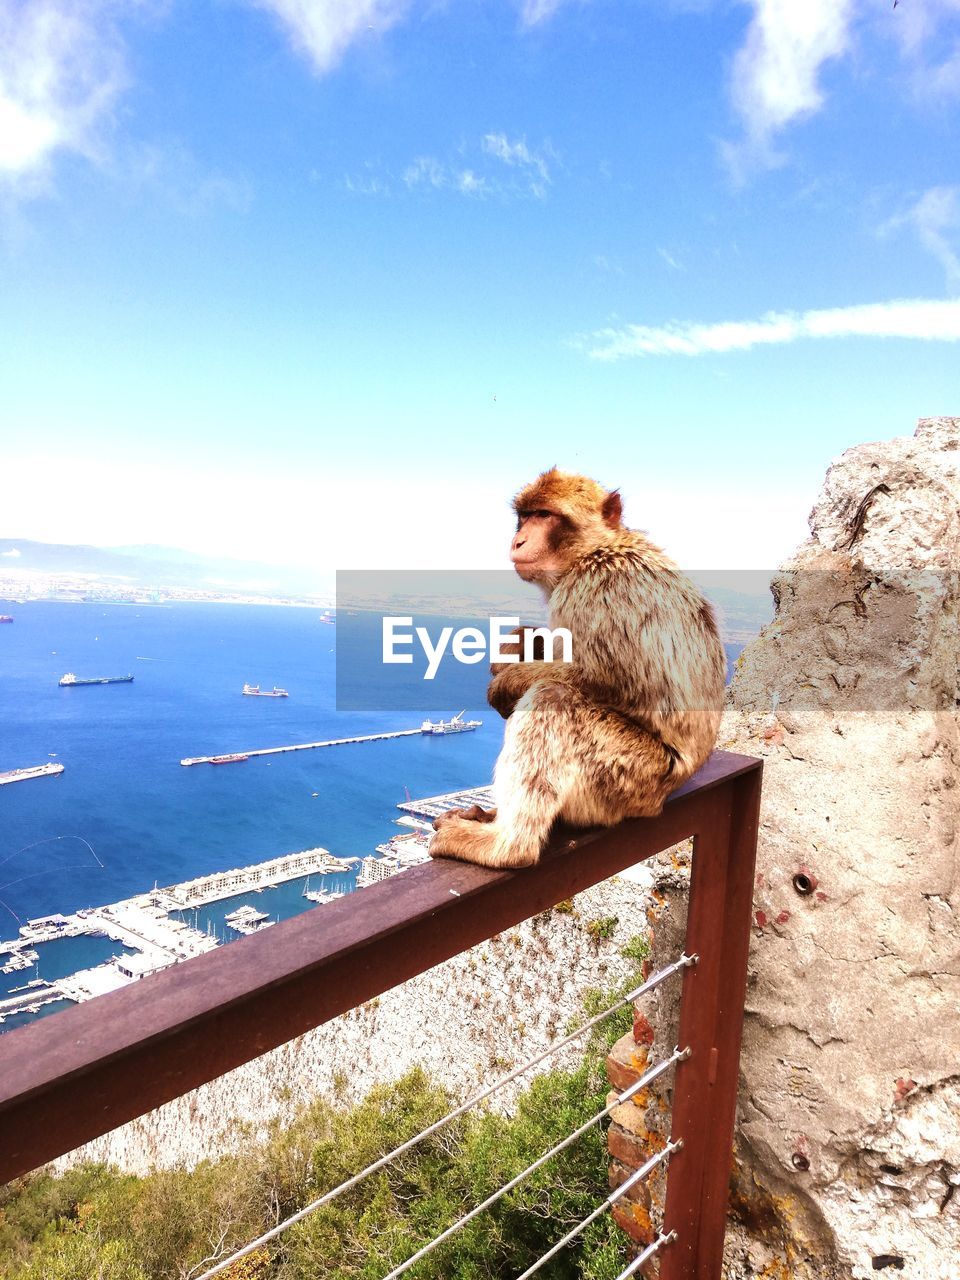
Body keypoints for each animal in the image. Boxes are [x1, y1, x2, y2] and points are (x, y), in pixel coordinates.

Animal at [430, 468, 727, 870]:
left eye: (545, 515)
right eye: (526, 516)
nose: (518, 539)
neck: (596, 548)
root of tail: (659, 800)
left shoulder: (598, 585)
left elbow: (612, 681)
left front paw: (509, 681)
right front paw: (520, 642)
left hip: (627, 776)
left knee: (553, 698)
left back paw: (506, 845)